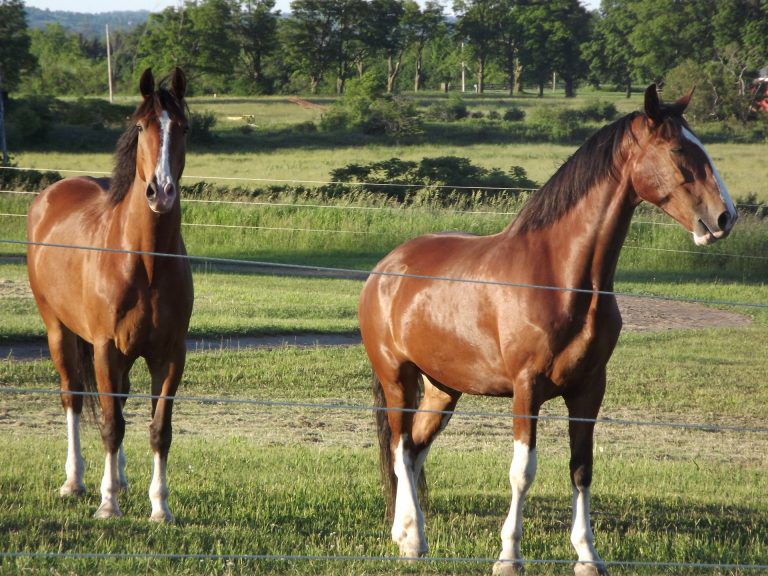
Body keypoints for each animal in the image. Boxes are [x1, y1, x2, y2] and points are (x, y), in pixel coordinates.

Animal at [26, 68, 193, 522]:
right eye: (140, 127)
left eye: (183, 127)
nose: (160, 191)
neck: (145, 260)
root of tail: (50, 196)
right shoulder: (104, 348)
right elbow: (111, 425)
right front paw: (108, 503)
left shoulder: (169, 354)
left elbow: (159, 429)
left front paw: (160, 507)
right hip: (59, 331)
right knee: (74, 397)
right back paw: (76, 482)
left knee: (118, 398)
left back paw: (121, 478)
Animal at [358, 85, 736, 576]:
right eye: (677, 151)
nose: (724, 217)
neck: (559, 276)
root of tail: (385, 269)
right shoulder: (527, 387)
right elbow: (522, 472)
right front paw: (509, 555)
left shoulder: (589, 390)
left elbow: (581, 469)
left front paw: (588, 556)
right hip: (397, 378)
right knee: (401, 449)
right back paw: (413, 538)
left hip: (443, 388)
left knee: (415, 450)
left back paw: (408, 537)